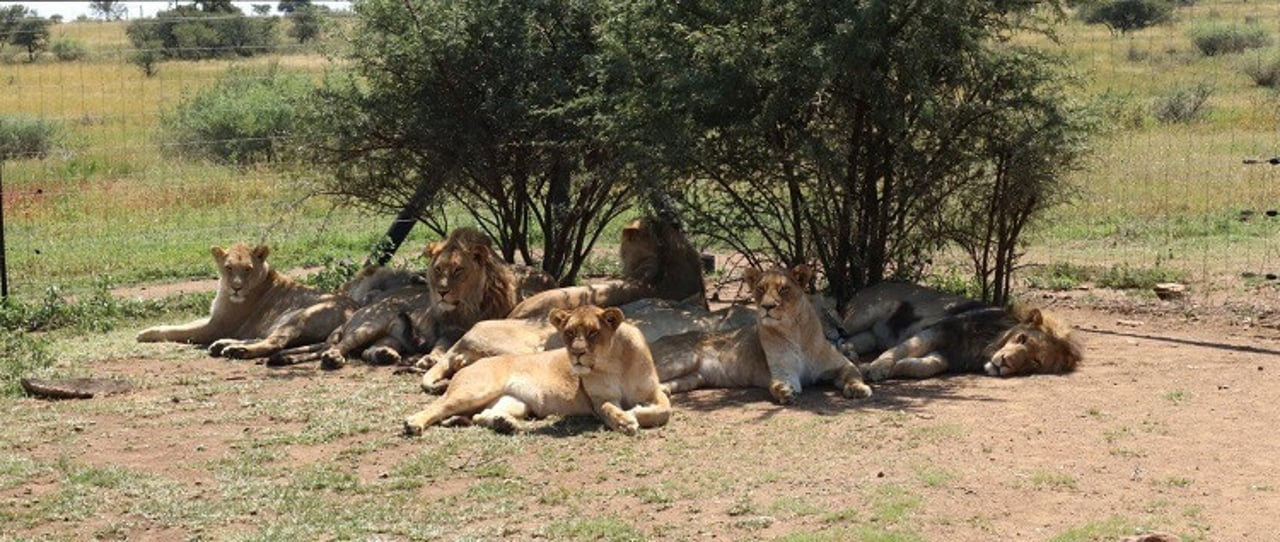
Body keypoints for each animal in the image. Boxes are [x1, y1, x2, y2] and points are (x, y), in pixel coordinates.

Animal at [136, 243, 355, 361]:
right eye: (229, 267)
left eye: (248, 269)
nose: (236, 287)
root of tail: (354, 311)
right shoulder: (214, 318)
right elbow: (183, 324)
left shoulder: (216, 326)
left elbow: (177, 330)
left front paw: (144, 334)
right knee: (264, 338)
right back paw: (224, 345)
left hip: (300, 316)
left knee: (274, 343)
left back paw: (237, 350)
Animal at [404, 304, 675, 438]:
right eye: (569, 333)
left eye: (593, 332)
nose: (576, 353)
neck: (613, 361)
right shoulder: (599, 400)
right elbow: (610, 408)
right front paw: (626, 419)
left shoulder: (652, 391)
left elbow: (664, 410)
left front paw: (637, 411)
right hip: (475, 389)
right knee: (439, 406)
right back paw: (413, 423)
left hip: (515, 401)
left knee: (481, 415)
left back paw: (504, 424)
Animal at [650, 265, 870, 404]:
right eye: (760, 288)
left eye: (783, 289)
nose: (767, 306)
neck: (794, 332)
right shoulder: (784, 372)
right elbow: (777, 384)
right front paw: (783, 392)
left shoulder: (841, 364)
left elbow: (854, 373)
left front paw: (859, 389)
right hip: (681, 360)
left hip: (691, 378)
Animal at [844, 281, 1085, 379]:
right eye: (1022, 339)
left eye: (1035, 362)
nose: (1004, 362)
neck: (986, 344)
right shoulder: (939, 330)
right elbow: (902, 348)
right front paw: (878, 367)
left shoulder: (948, 356)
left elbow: (924, 367)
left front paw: (891, 367)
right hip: (862, 315)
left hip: (870, 336)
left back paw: (848, 351)